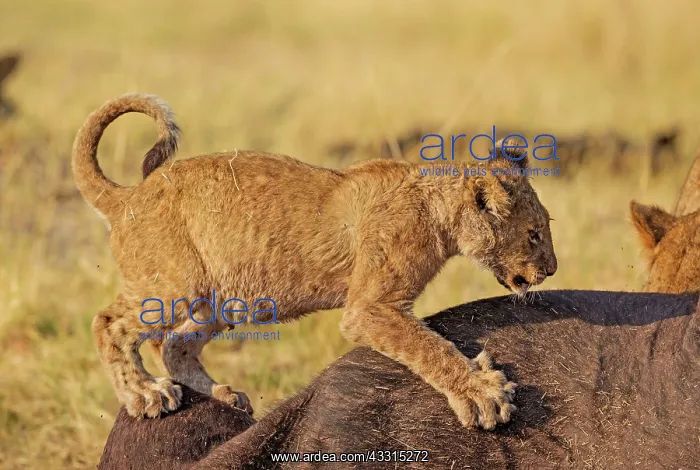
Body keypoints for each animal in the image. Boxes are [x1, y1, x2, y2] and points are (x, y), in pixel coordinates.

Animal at [72, 93, 557, 430]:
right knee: (108, 323)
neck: (436, 207)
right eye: (534, 234)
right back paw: (144, 394)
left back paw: (225, 396)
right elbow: (429, 348)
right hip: (176, 285)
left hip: (220, 302)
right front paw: (482, 394)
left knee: (172, 343)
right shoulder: (370, 307)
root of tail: (127, 198)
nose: (551, 269)